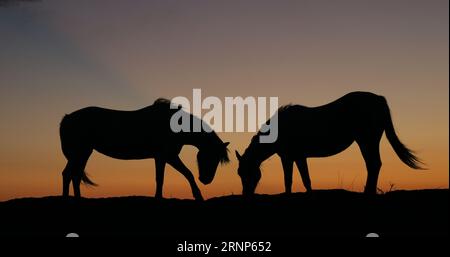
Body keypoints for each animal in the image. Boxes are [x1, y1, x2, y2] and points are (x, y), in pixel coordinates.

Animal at [59, 97, 229, 199]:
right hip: (80, 153)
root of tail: (67, 117)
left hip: (83, 153)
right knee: (68, 174)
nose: (206, 180)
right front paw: (197, 195)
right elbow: (184, 174)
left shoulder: (163, 157)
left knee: (74, 174)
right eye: (211, 156)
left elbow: (164, 178)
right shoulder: (168, 156)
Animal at [237, 92, 424, 194]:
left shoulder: (293, 157)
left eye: (248, 172)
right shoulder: (294, 157)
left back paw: (368, 192)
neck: (282, 127)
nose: (246, 194)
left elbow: (296, 180)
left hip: (367, 140)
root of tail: (378, 99)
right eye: (239, 173)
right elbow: (298, 180)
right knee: (374, 165)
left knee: (373, 164)